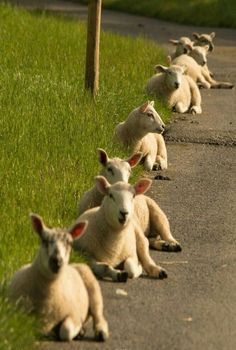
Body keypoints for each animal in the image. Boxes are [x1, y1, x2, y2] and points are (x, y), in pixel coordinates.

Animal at [8, 213, 109, 342]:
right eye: (44, 240)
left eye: (70, 243)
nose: (56, 261)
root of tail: (74, 265)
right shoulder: (19, 314)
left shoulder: (74, 314)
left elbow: (66, 330)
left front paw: (76, 331)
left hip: (93, 287)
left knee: (98, 313)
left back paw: (100, 332)